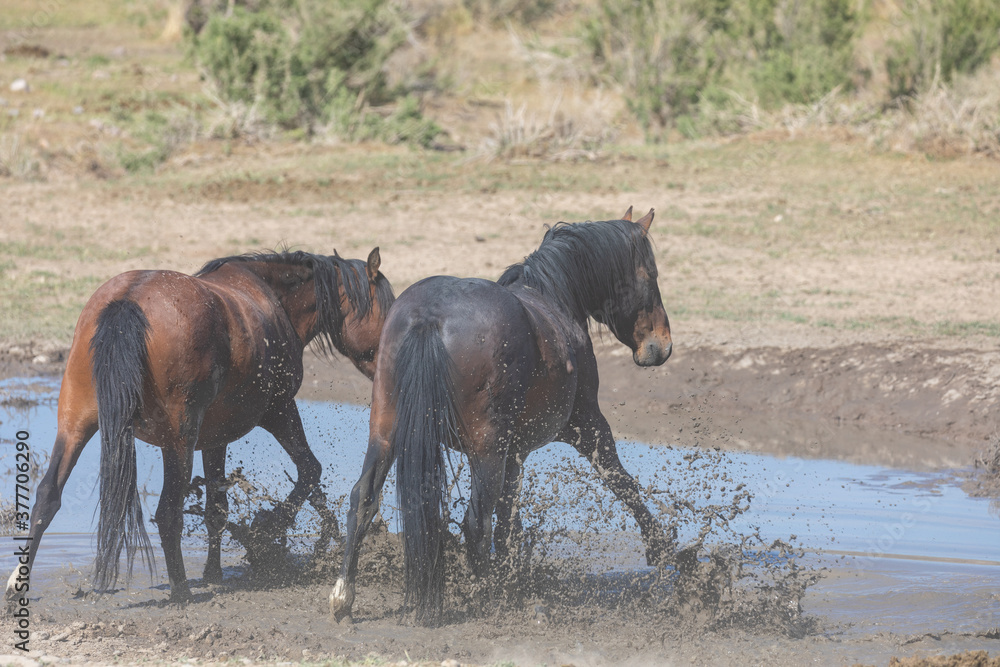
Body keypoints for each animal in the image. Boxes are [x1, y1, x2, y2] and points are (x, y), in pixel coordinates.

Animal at [5, 247, 394, 604]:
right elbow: (310, 470)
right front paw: (267, 532)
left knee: (47, 497)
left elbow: (217, 509)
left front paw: (214, 571)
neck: (274, 301)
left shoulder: (215, 437)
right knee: (167, 514)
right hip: (178, 441)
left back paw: (16, 584)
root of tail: (128, 299)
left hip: (77, 427)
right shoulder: (279, 410)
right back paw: (180, 590)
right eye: (388, 309)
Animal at [328, 207, 676, 626]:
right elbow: (620, 480)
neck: (554, 298)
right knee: (475, 523)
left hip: (386, 433)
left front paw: (513, 579)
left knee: (363, 498)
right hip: (486, 452)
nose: (661, 345)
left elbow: (508, 522)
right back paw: (489, 598)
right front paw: (659, 546)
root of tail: (429, 317)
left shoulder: (516, 453)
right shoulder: (586, 426)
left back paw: (344, 596)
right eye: (650, 274)